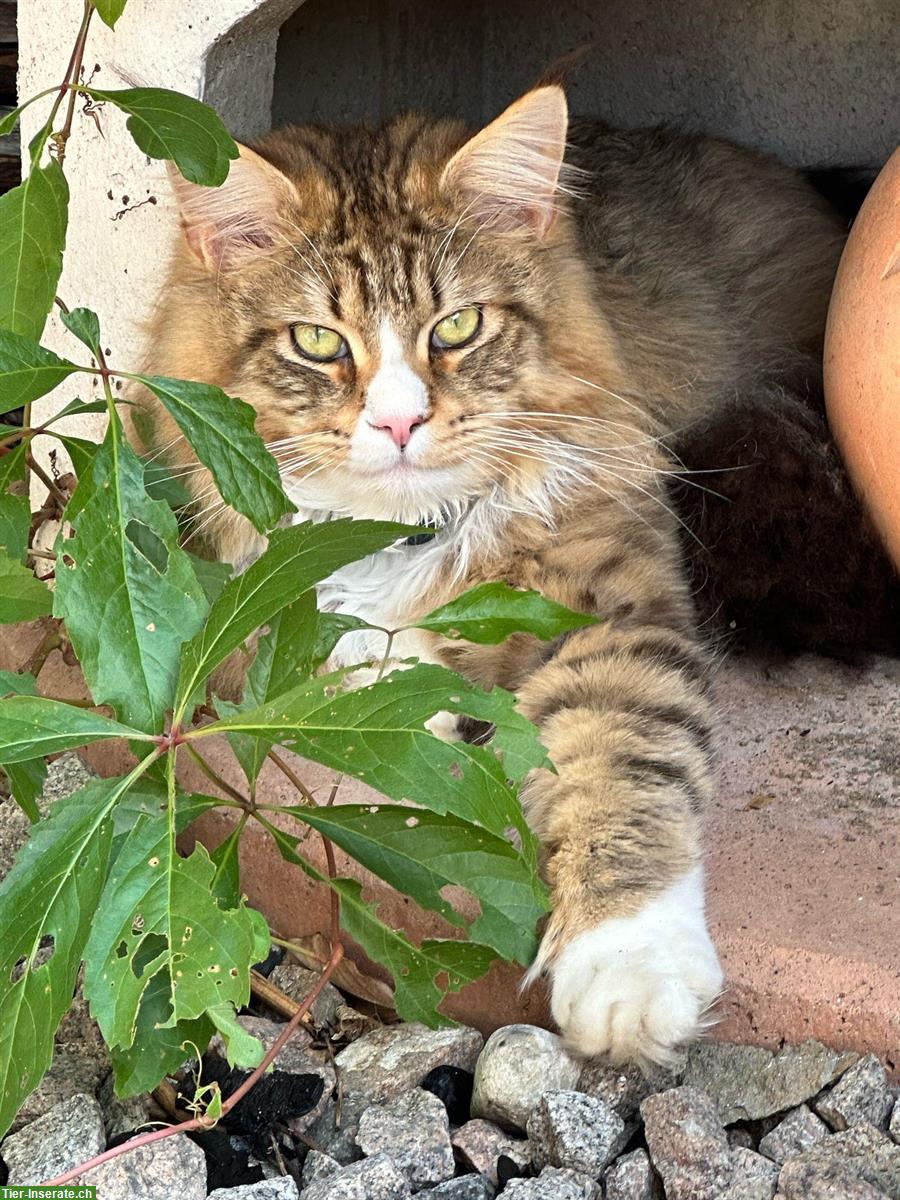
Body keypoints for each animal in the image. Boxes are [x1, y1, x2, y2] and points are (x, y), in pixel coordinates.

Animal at [135, 84, 868, 1065]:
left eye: (458, 327)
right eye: (318, 341)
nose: (400, 424)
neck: (410, 530)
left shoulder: (610, 610)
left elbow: (623, 771)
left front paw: (628, 967)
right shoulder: (237, 573)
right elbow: (332, 634)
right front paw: (420, 693)